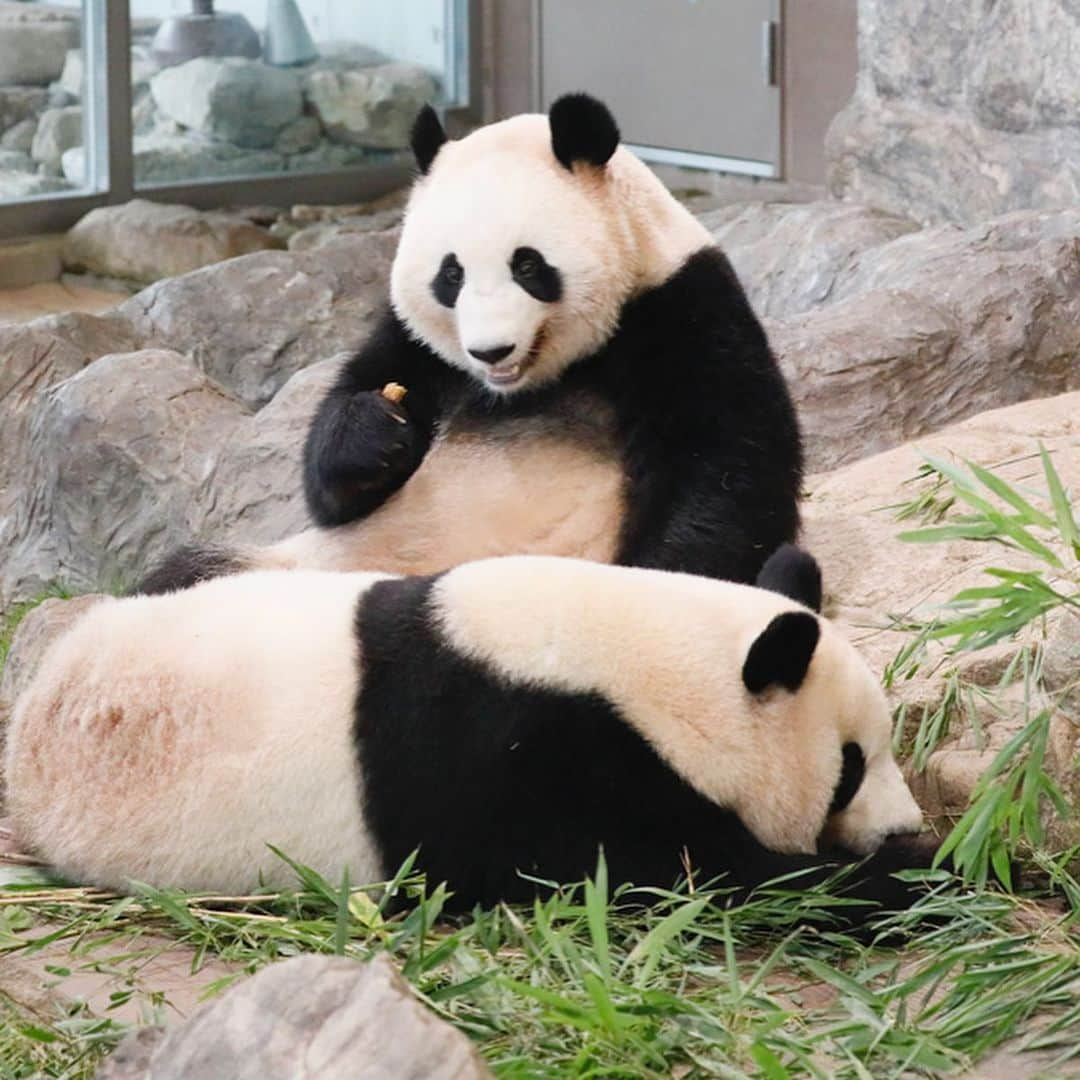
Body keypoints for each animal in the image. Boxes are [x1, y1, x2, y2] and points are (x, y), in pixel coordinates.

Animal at [139, 93, 803, 596]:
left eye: (528, 265)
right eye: (450, 274)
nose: (490, 352)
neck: (531, 383)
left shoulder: (682, 311)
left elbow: (726, 473)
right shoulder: (413, 346)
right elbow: (334, 475)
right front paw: (375, 432)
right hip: (294, 565)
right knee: (183, 579)